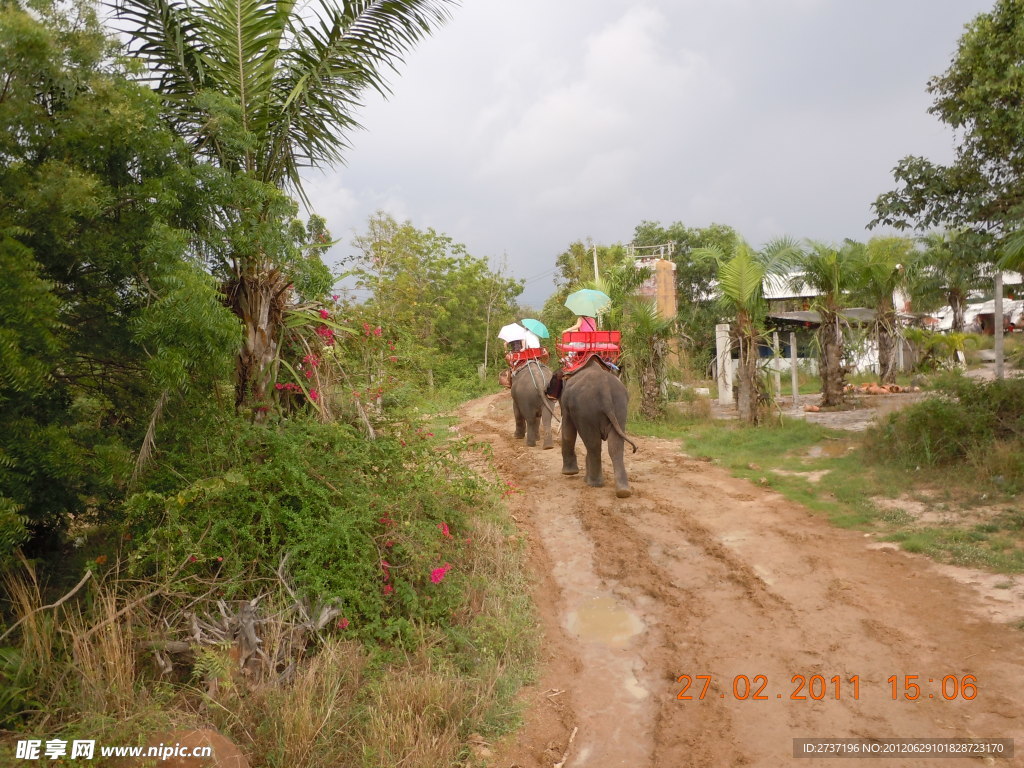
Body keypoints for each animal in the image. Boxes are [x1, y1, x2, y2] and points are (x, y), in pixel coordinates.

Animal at [561, 356, 630, 499]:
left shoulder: (566, 404)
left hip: (585, 410)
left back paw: (594, 484)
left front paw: (569, 473)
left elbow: (568, 430)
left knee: (593, 444)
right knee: (615, 446)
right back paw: (623, 491)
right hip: (620, 407)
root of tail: (605, 390)